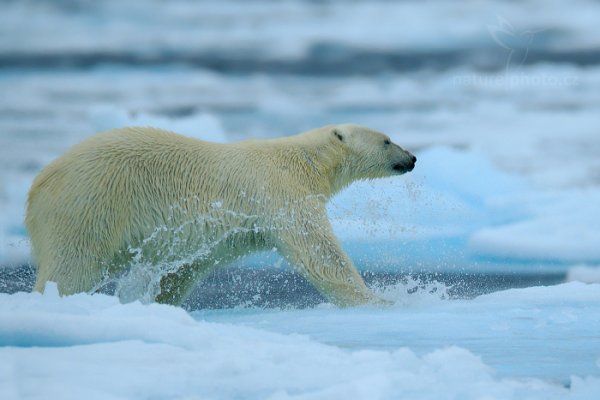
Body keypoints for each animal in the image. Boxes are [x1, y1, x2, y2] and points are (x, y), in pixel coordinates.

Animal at [25, 124, 414, 306]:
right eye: (386, 140)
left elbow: (185, 269)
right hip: (88, 203)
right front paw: (381, 301)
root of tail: (38, 185)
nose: (411, 158)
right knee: (72, 265)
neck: (306, 161)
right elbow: (320, 252)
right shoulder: (280, 192)